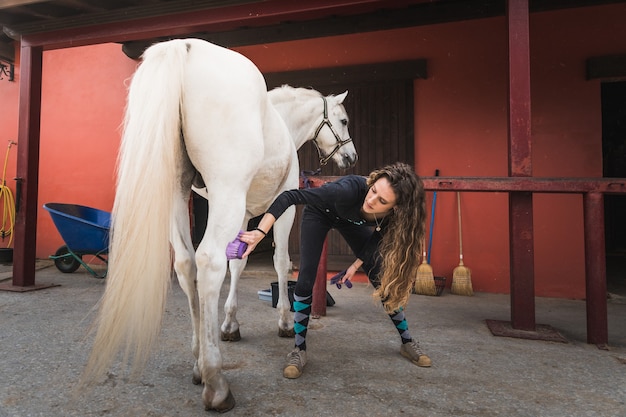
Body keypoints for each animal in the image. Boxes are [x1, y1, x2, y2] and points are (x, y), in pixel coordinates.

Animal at [82, 38, 354, 410]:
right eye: (343, 120)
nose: (351, 157)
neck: (279, 121)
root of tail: (182, 48)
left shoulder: (245, 214)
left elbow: (238, 263)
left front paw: (229, 324)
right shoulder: (282, 208)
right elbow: (280, 262)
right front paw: (284, 320)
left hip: (178, 194)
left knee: (186, 264)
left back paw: (199, 361)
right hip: (226, 196)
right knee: (208, 262)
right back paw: (215, 381)